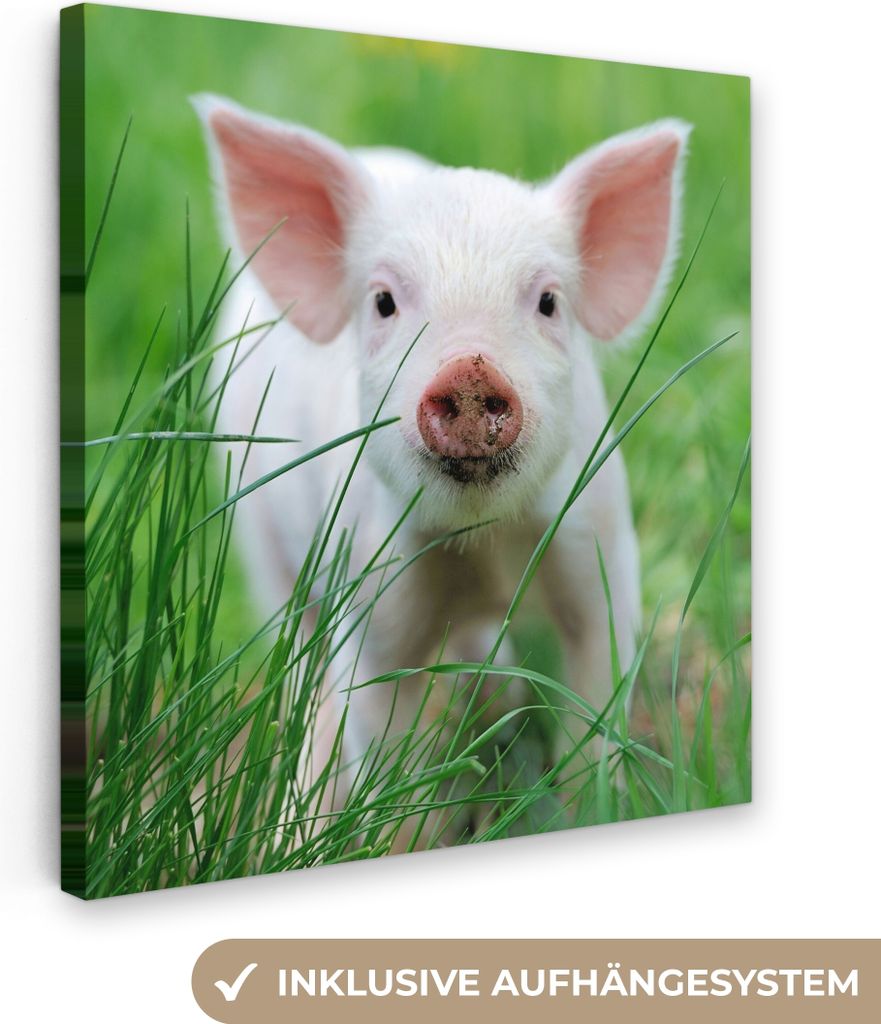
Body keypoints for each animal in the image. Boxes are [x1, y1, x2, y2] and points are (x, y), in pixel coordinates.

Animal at [195, 94, 690, 838]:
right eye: (383, 302)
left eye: (548, 301)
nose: (469, 369)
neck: (480, 542)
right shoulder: (369, 585)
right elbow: (381, 728)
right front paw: (395, 837)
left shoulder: (600, 550)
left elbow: (594, 703)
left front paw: (589, 808)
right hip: (261, 535)